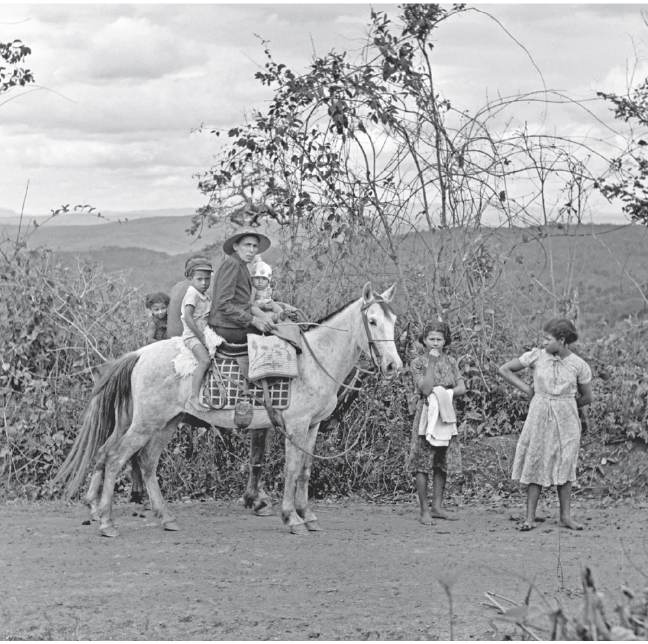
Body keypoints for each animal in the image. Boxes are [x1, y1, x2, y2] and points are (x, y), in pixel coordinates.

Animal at [55, 284, 402, 536]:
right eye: (372, 321)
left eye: (394, 320)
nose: (392, 365)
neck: (313, 359)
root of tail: (139, 355)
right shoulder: (296, 425)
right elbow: (291, 469)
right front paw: (292, 518)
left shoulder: (313, 426)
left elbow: (304, 470)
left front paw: (308, 515)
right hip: (144, 423)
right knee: (115, 459)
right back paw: (106, 522)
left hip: (166, 422)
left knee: (145, 462)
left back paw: (164, 517)